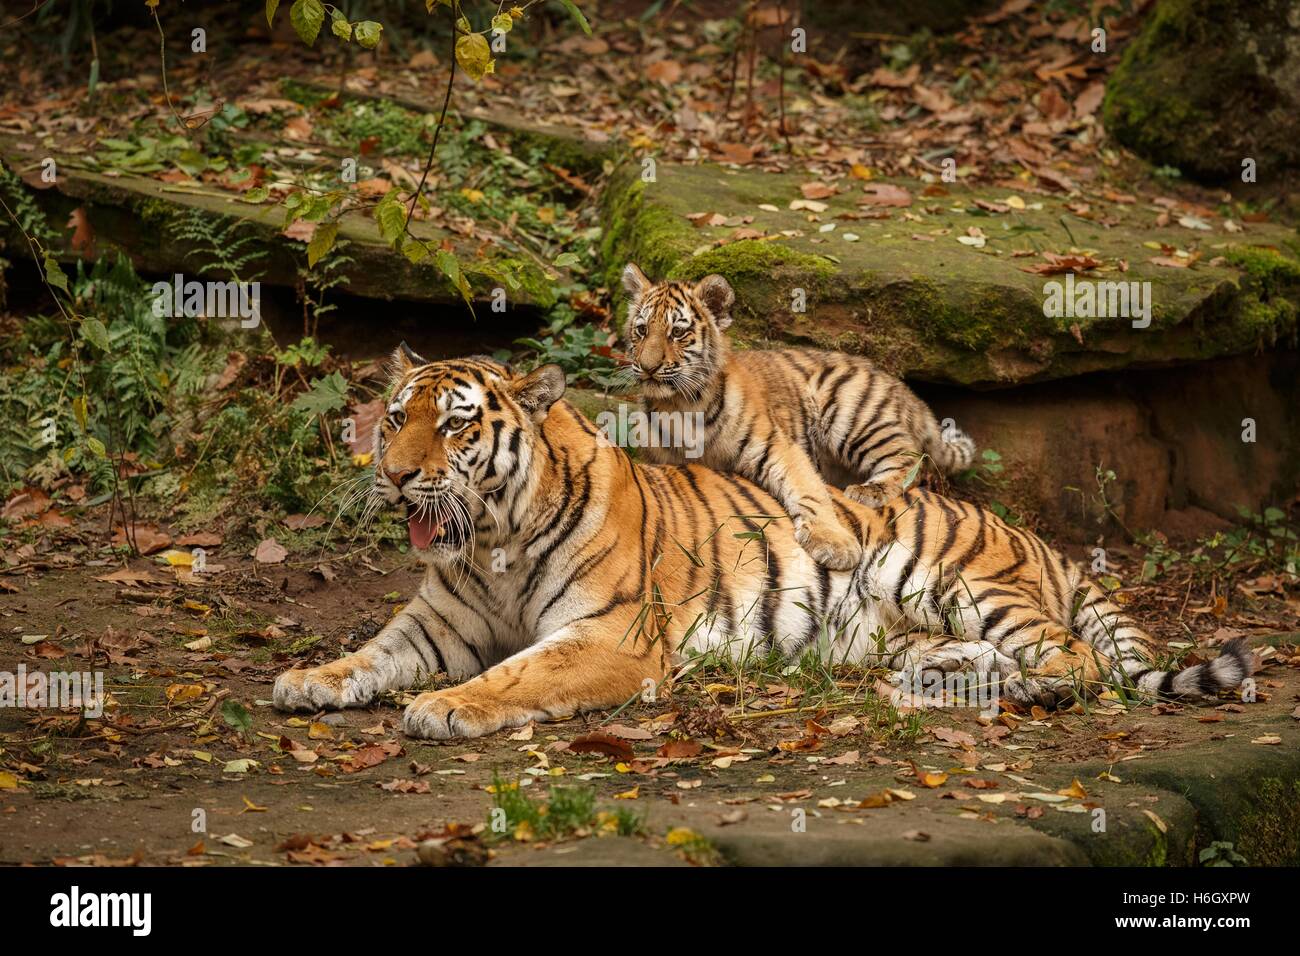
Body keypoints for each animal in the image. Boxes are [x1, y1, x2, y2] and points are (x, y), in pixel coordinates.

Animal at [271, 351, 1248, 738]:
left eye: (454, 425)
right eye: (395, 418)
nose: (395, 474)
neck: (491, 544)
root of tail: (1033, 535)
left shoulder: (615, 635)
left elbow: (519, 674)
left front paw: (448, 706)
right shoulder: (438, 624)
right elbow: (369, 654)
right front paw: (306, 680)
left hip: (956, 579)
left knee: (1078, 658)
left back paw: (1022, 689)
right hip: (907, 624)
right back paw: (942, 680)